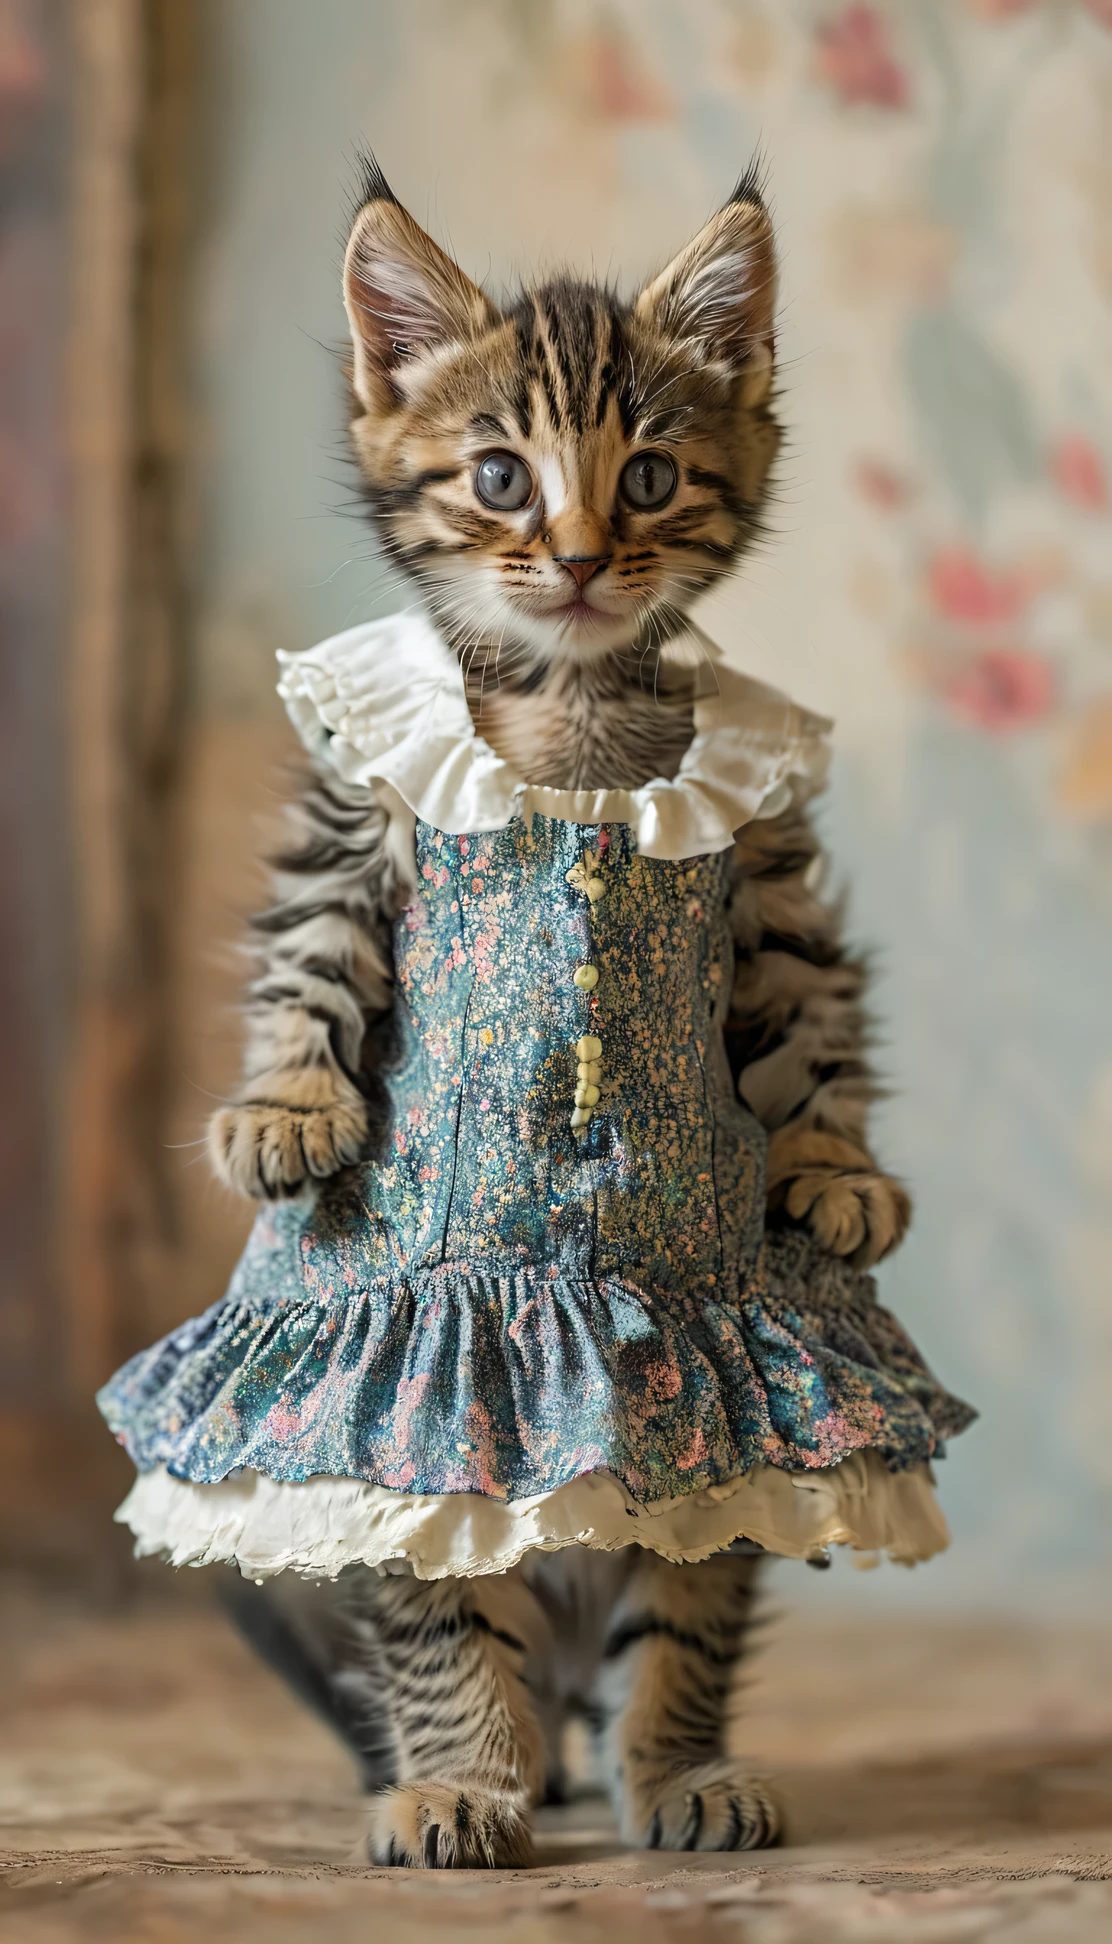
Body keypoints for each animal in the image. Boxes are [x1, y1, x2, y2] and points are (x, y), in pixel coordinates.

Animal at [208, 159, 913, 1858]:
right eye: (500, 477)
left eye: (649, 476)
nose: (586, 557)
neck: (570, 693)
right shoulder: (354, 816)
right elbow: (306, 956)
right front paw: (284, 1108)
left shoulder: (767, 869)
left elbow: (813, 1013)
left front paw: (841, 1169)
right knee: (436, 1611)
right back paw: (463, 1776)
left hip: (710, 1479)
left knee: (683, 1603)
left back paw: (669, 1770)